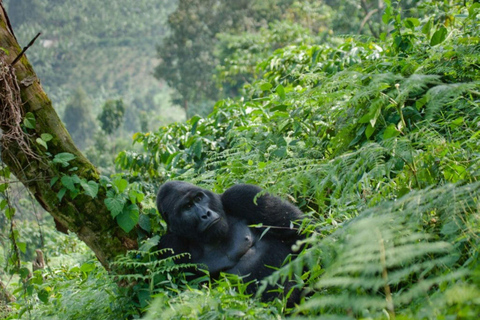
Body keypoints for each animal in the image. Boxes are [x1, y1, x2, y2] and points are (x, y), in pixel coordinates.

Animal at [158, 180, 304, 298]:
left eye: (199, 198)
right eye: (187, 207)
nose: (206, 214)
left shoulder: (242, 195)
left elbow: (298, 230)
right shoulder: (171, 244)